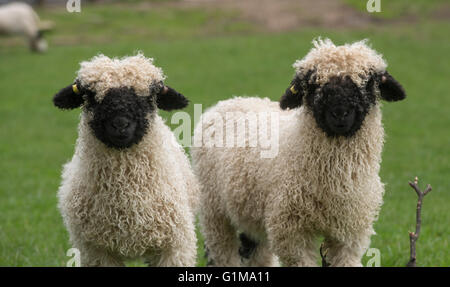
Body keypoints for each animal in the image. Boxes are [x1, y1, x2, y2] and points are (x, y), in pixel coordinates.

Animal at [192, 38, 406, 268]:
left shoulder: (350, 233)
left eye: (367, 83)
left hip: (253, 214)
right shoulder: (292, 232)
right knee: (223, 252)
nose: (340, 114)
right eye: (312, 85)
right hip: (214, 211)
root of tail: (233, 100)